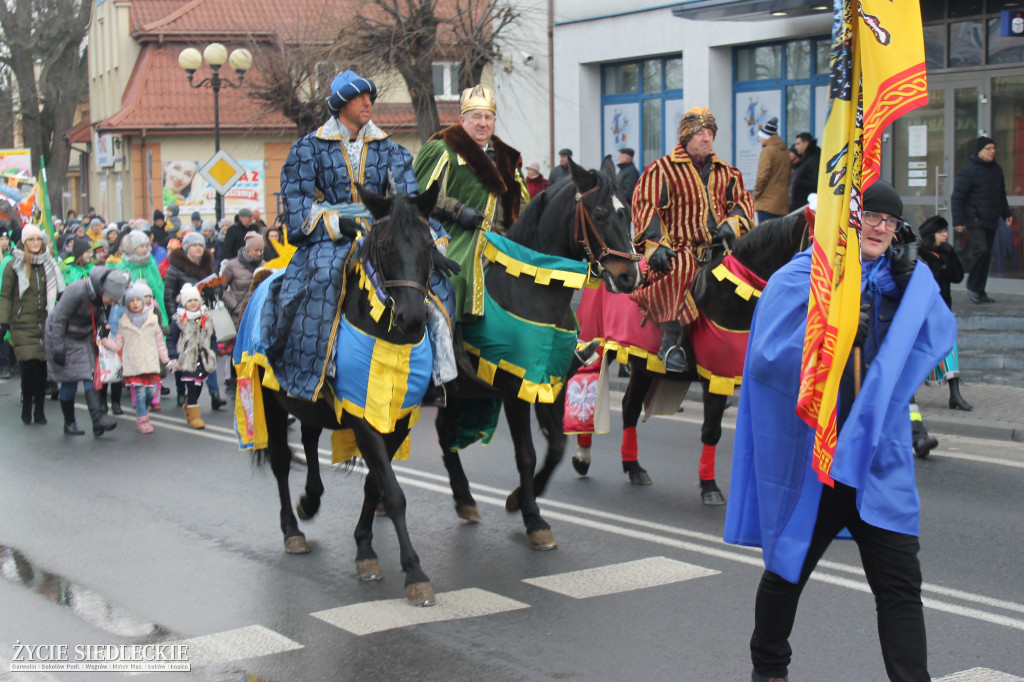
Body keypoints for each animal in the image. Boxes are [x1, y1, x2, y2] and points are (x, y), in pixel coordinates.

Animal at [247, 183, 444, 602]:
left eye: (428, 244)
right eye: (385, 245)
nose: (412, 318)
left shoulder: (398, 418)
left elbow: (375, 485)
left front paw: (366, 549)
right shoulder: (361, 416)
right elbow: (393, 492)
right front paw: (414, 572)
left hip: (309, 402)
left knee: (308, 438)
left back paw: (311, 499)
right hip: (270, 400)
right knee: (280, 461)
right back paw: (292, 530)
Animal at [434, 157, 638, 548]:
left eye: (629, 212)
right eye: (600, 213)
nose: (630, 277)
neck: (532, 289)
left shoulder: (551, 383)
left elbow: (556, 446)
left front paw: (518, 499)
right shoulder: (515, 387)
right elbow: (526, 455)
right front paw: (534, 520)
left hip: (459, 391)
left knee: (443, 431)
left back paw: (464, 498)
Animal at [569, 212, 806, 503]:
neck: (733, 292)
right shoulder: (716, 375)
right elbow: (711, 430)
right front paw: (710, 486)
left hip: (642, 364)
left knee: (630, 407)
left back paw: (634, 467)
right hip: (599, 345)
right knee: (589, 390)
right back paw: (582, 455)